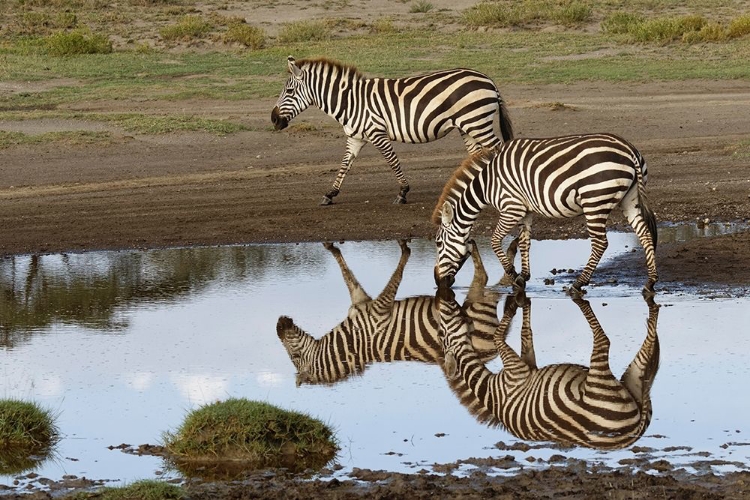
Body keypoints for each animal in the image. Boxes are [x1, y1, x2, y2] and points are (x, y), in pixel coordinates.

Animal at [272, 54, 516, 203]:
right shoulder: (355, 137)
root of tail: (488, 80)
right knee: (478, 154)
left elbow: (392, 161)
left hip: (477, 122)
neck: (350, 102)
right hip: (468, 126)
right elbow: (344, 165)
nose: (273, 119)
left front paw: (402, 193)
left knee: (497, 149)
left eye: (290, 92)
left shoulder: (376, 132)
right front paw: (330, 194)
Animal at [276, 238, 512, 386]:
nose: (279, 323)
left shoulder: (380, 310)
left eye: (295, 356)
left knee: (484, 281)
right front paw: (330, 246)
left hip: (478, 310)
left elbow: (396, 276)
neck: (354, 339)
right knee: (482, 271)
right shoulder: (359, 302)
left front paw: (404, 247)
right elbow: (347, 275)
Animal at [432, 134, 660, 296]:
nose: (438, 283)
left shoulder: (511, 208)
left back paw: (578, 284)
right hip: (629, 199)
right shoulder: (525, 211)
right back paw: (650, 282)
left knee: (600, 243)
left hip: (595, 201)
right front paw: (523, 277)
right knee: (645, 234)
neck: (487, 184)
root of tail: (629, 149)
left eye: (438, 243)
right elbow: (524, 242)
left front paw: (513, 274)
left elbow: (495, 240)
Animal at [438, 288, 660, 452]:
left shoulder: (517, 370)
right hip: (619, 381)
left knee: (607, 341)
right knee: (610, 343)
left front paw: (513, 302)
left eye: (441, 332)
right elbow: (516, 335)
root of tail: (634, 431)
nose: (448, 303)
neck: (491, 393)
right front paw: (515, 302)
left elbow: (507, 335)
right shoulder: (519, 369)